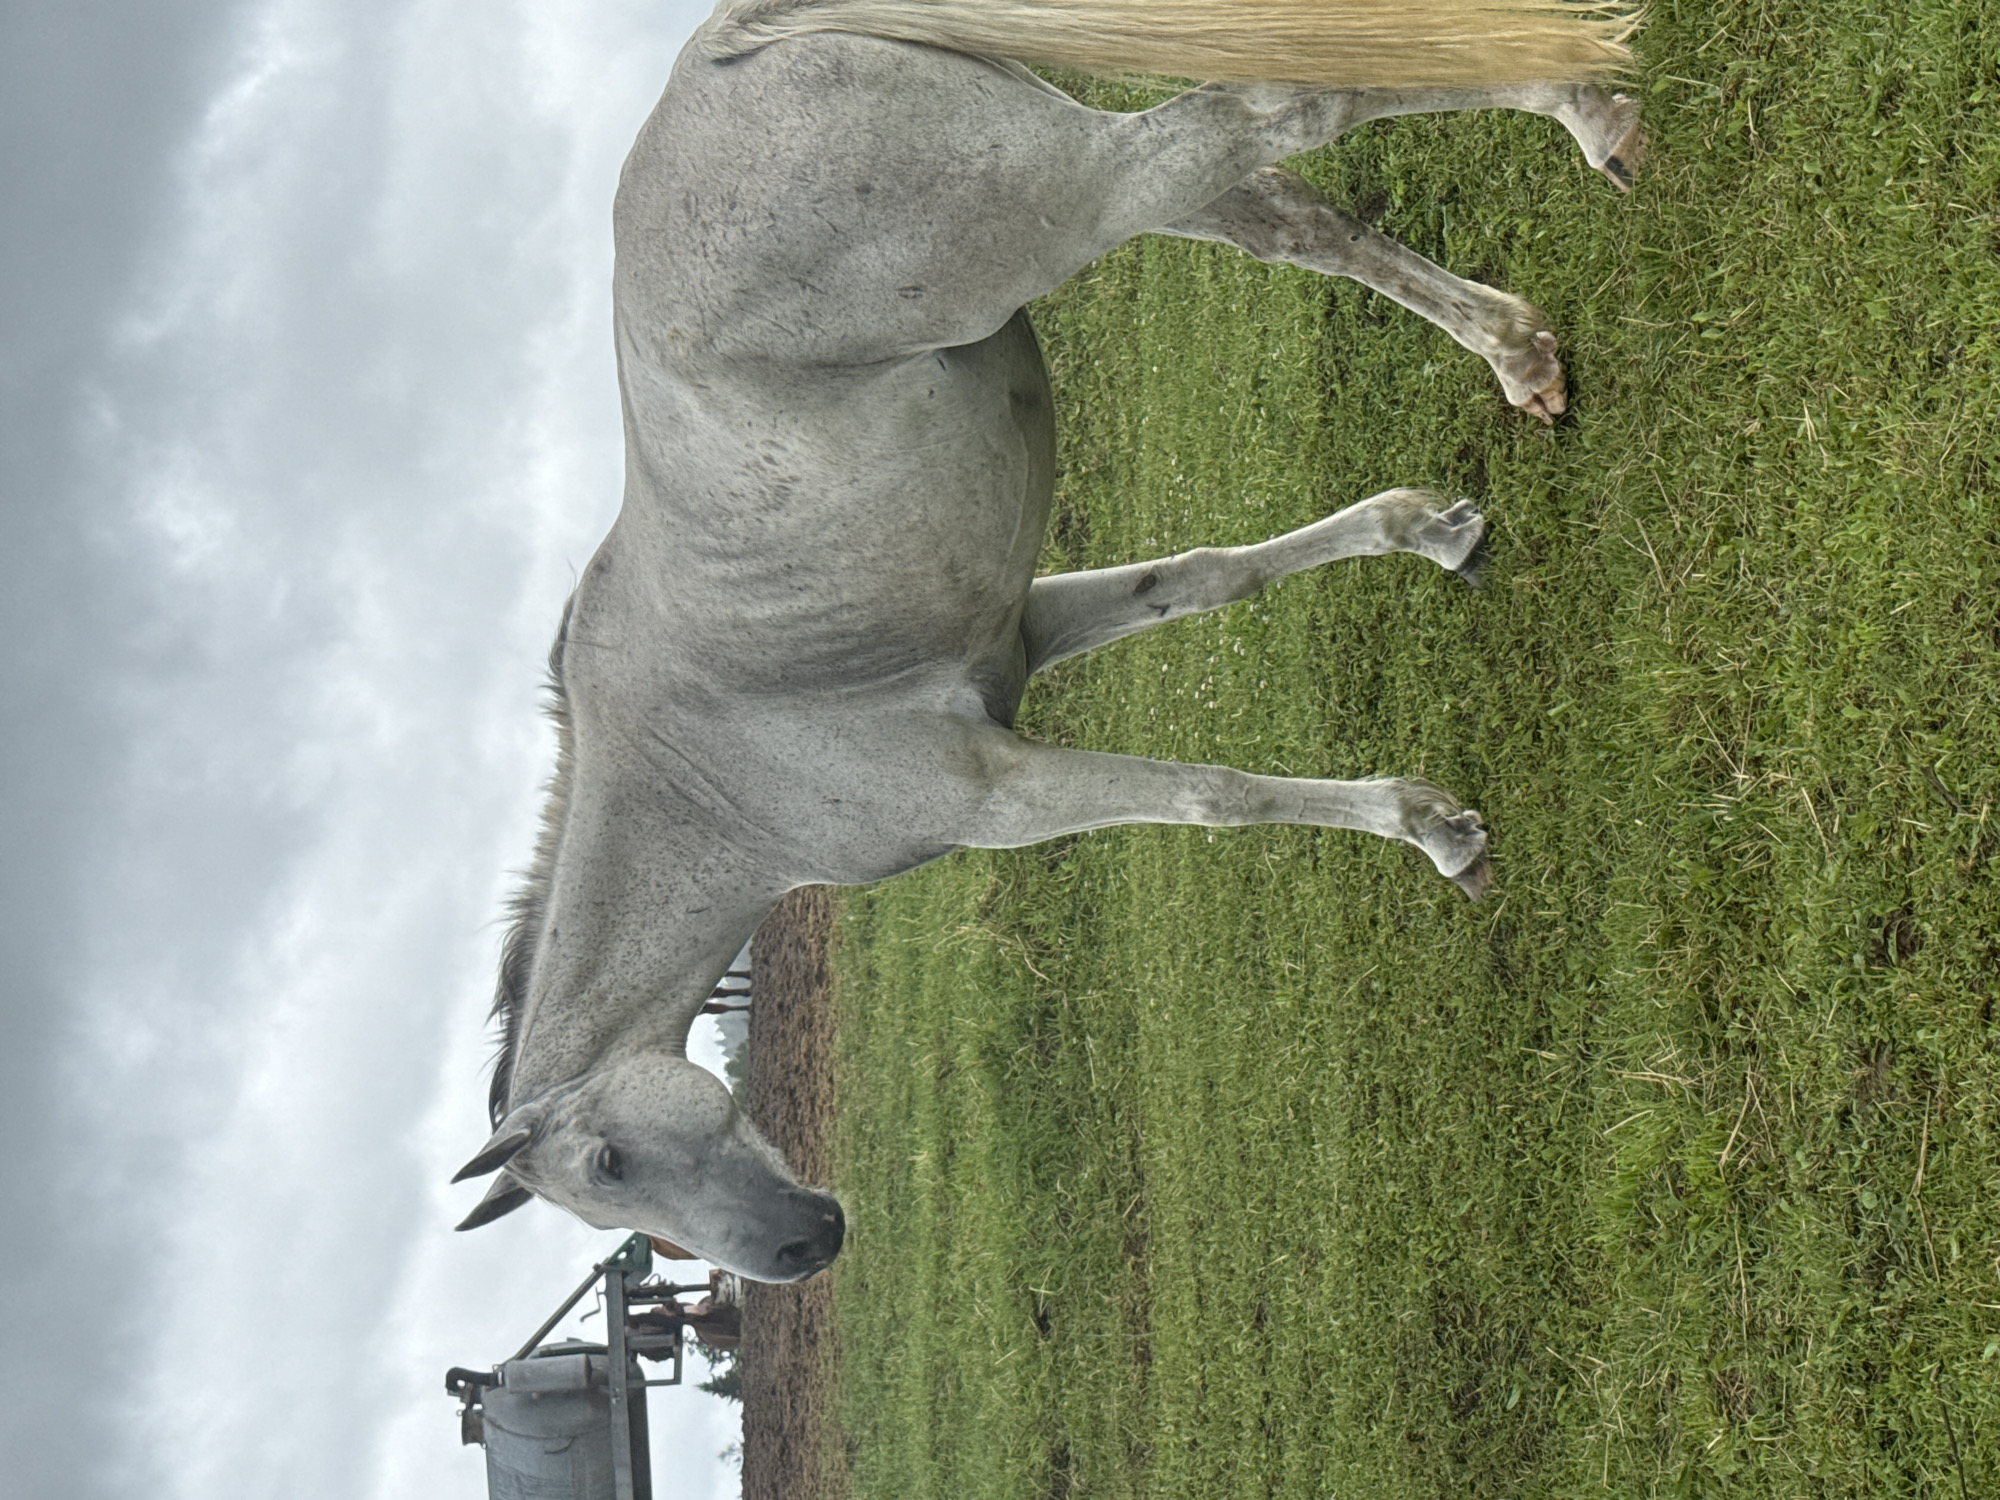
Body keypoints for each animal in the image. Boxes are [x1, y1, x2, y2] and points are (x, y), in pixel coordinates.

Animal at [452, 0, 1642, 1281]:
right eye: (624, 1202)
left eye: (612, 1165)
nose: (803, 1248)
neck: (706, 783)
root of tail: (713, 58)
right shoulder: (1026, 632)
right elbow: (1207, 579)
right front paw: (1421, 531)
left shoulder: (999, 795)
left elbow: (1209, 797)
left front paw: (1430, 828)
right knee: (1292, 218)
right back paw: (1518, 343)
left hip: (1074, 199)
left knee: (1277, 110)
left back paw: (1588, 111)